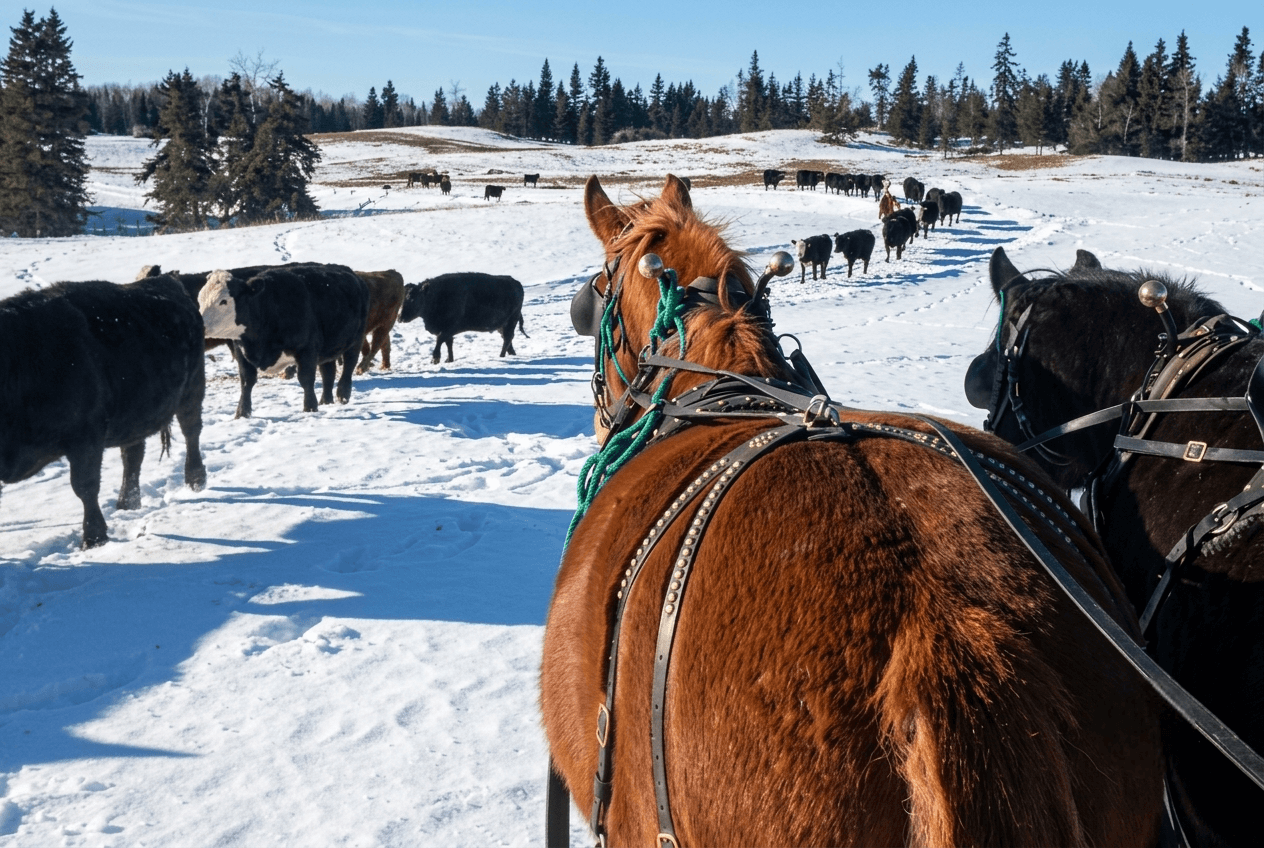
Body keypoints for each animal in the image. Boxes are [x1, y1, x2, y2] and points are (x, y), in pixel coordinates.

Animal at [1, 274, 206, 548]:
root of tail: (165, 279)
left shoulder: (85, 437)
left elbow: (85, 486)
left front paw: (94, 538)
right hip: (136, 412)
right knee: (133, 455)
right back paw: (127, 503)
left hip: (192, 392)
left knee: (191, 432)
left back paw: (196, 481)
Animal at [198, 263, 369, 417]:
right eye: (200, 299)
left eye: (223, 301)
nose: (200, 325)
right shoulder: (241, 350)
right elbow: (246, 381)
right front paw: (242, 413)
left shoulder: (307, 349)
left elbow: (306, 379)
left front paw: (310, 408)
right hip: (329, 347)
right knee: (328, 372)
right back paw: (326, 401)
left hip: (356, 339)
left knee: (349, 366)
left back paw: (343, 395)